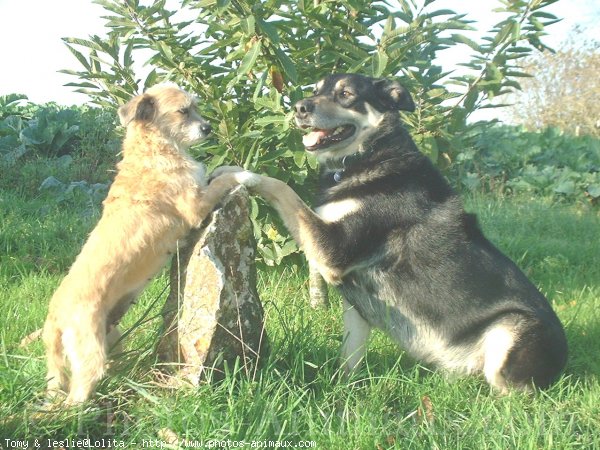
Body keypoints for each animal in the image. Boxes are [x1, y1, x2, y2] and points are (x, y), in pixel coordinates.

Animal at [40, 84, 244, 404]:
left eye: (196, 107)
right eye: (183, 111)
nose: (208, 128)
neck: (153, 147)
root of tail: (55, 316)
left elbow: (218, 174)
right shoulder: (194, 206)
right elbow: (223, 181)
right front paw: (241, 173)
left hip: (110, 338)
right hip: (90, 354)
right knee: (79, 392)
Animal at [225, 74, 568, 390]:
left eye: (346, 94)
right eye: (316, 89)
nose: (299, 107)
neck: (367, 154)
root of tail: (564, 362)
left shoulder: (333, 249)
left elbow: (283, 189)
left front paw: (242, 174)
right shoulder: (354, 300)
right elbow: (349, 354)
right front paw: (344, 390)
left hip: (512, 331)